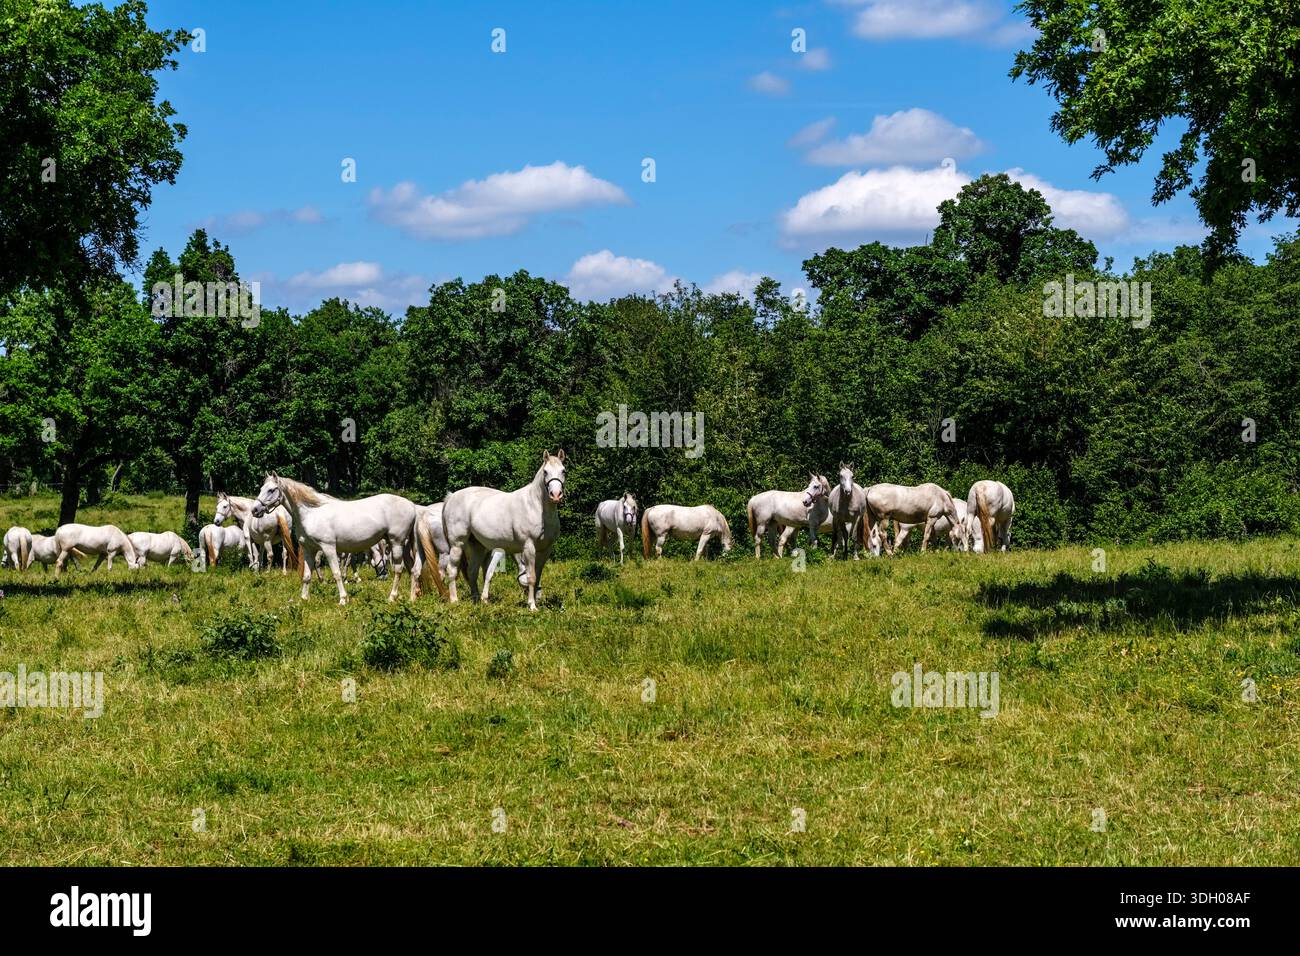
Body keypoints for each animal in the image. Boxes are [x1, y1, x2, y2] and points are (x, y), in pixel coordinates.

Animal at [251, 473, 426, 605]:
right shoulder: (308, 549)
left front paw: (343, 599)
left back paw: (391, 597)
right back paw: (412, 598)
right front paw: (304, 598)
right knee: (413, 569)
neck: (312, 512)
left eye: (271, 490)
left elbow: (336, 573)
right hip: (402, 544)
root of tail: (412, 505)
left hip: (396, 543)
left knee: (398, 569)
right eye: (261, 488)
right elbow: (307, 575)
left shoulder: (328, 548)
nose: (255, 510)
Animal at [440, 449, 566, 611]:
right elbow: (531, 577)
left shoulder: (545, 550)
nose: (556, 495)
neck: (536, 507)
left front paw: (535, 602)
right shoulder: (529, 547)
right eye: (545, 472)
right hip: (457, 545)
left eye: (563, 471)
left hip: (478, 547)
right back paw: (454, 600)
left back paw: (477, 601)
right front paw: (532, 606)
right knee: (452, 570)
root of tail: (451, 497)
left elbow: (537, 576)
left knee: (472, 572)